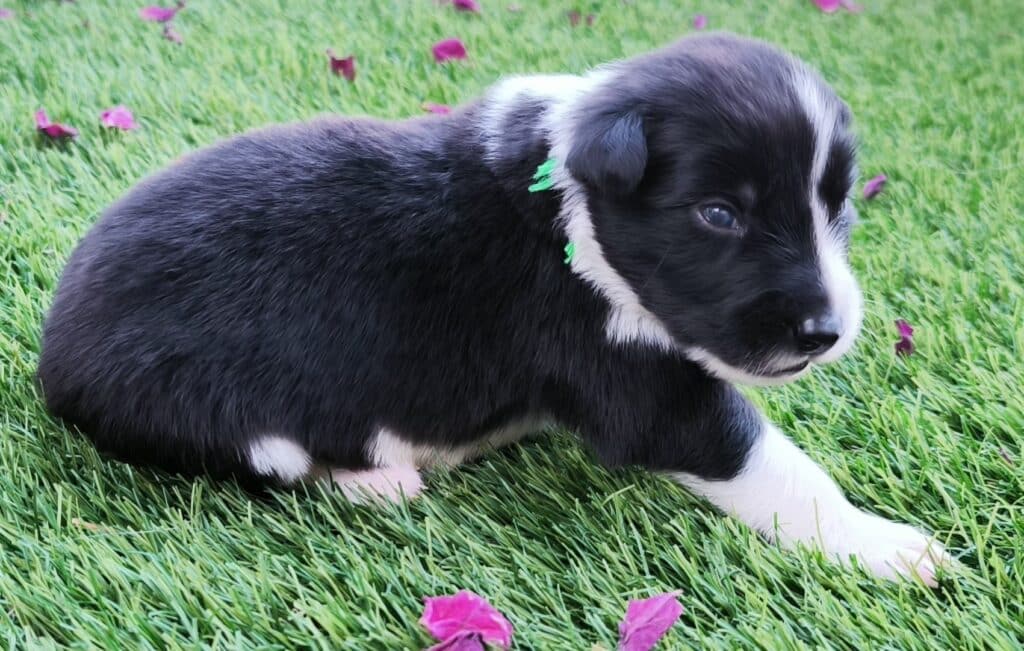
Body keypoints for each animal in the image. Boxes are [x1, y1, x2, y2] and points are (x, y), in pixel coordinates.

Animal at [37, 34, 950, 585]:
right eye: (720, 214)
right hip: (205, 405)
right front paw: (888, 545)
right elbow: (769, 461)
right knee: (278, 462)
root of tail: (51, 356)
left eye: (839, 203)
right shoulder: (623, 370)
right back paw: (380, 478)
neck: (570, 203)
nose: (826, 333)